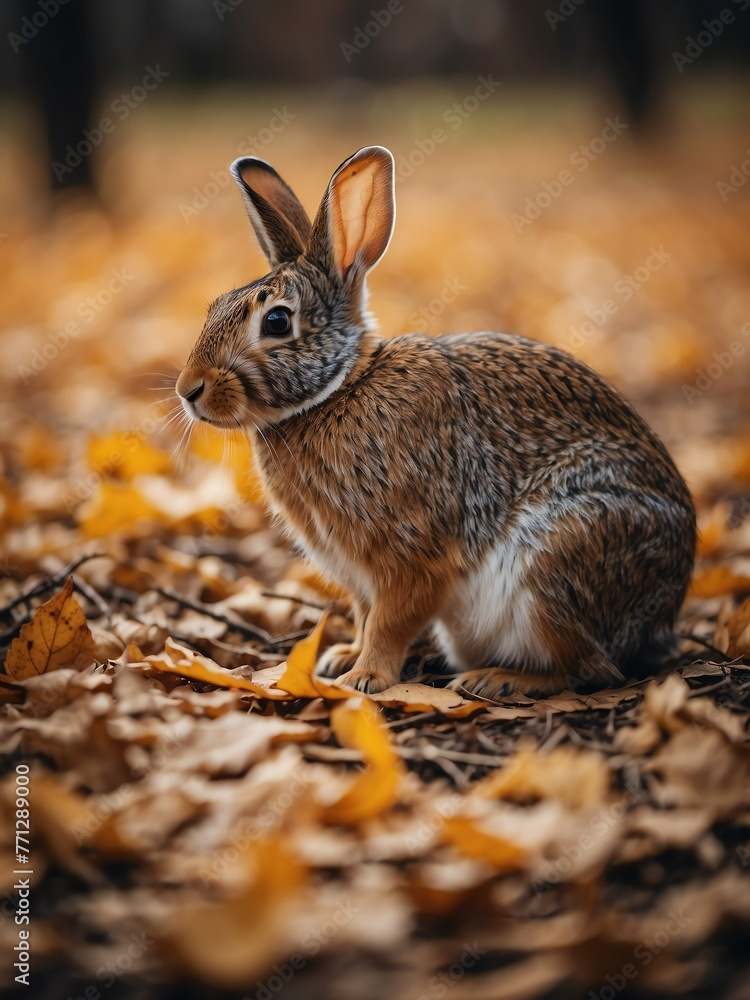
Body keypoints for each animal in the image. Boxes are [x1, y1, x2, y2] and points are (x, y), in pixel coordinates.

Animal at [175, 145, 696, 699]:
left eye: (276, 321)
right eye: (216, 305)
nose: (188, 389)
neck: (338, 391)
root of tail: (662, 616)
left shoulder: (415, 554)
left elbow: (390, 620)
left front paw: (365, 678)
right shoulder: (361, 578)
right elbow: (365, 616)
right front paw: (343, 658)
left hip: (556, 563)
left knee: (592, 669)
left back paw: (496, 681)